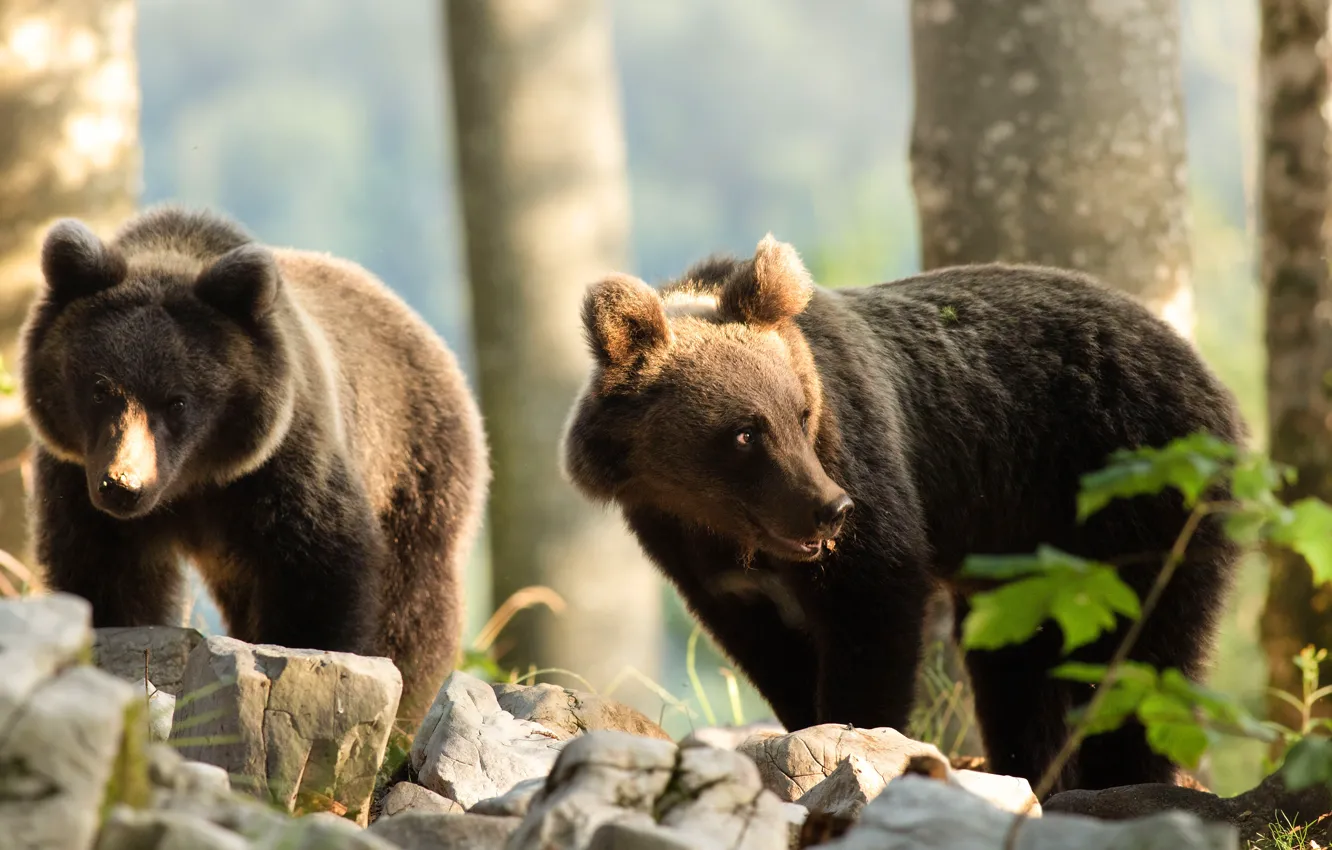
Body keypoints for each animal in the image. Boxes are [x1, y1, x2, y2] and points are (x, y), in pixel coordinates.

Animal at [19, 205, 489, 726]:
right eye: (102, 388)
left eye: (178, 400)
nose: (124, 485)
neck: (194, 483)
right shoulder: (78, 481)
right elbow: (107, 580)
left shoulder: (282, 468)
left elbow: (320, 571)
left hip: (416, 463)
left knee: (416, 599)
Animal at [561, 234, 1243, 794]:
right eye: (744, 433)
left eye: (800, 414)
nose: (830, 510)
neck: (725, 529)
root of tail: (1210, 377)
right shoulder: (695, 555)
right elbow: (772, 654)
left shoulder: (864, 463)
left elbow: (874, 609)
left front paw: (855, 737)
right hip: (1027, 561)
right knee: (1020, 665)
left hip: (1133, 487)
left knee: (1143, 646)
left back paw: (1121, 780)